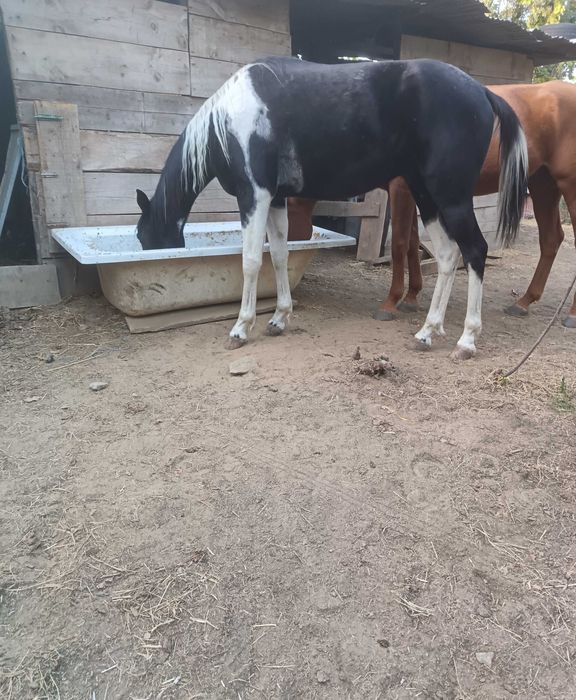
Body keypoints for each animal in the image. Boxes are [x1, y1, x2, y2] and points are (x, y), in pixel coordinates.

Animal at [136, 56, 528, 360]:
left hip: (451, 198)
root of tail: (482, 92)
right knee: (448, 256)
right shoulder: (275, 199)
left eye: (141, 235)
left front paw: (241, 328)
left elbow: (251, 260)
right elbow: (279, 255)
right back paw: (427, 332)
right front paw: (279, 318)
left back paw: (466, 340)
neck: (229, 121)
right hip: (427, 196)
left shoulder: (254, 196)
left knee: (475, 251)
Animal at [373, 80, 576, 328]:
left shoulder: (400, 187)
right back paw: (523, 302)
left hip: (569, 185)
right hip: (543, 185)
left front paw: (390, 302)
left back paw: (572, 314)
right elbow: (413, 242)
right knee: (551, 239)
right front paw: (411, 297)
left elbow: (399, 244)